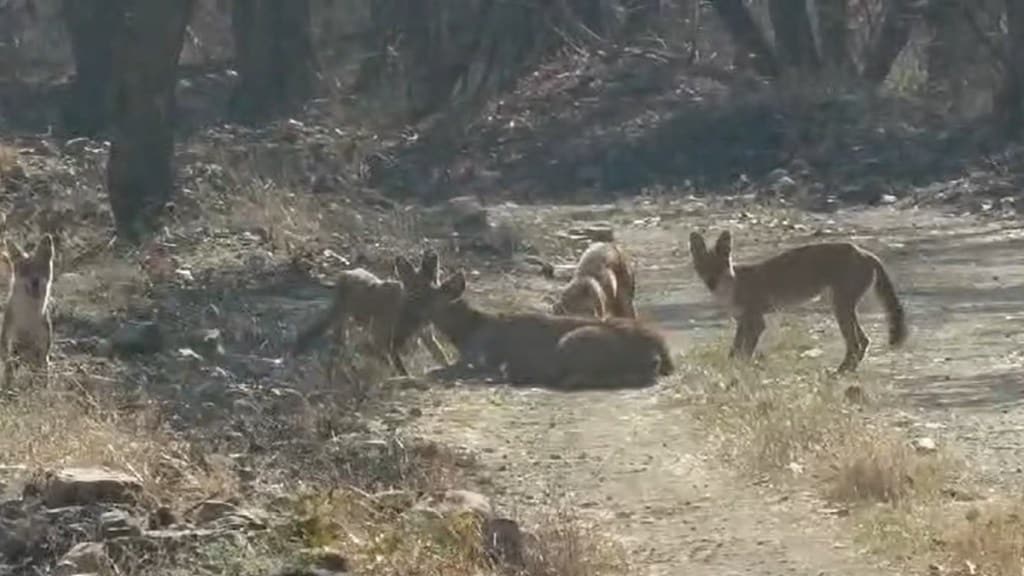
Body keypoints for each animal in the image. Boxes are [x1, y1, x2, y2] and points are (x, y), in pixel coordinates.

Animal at [0, 234, 55, 389]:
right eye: (24, 271)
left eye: (41, 269)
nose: (34, 281)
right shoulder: (13, 350)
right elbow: (9, 378)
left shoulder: (42, 354)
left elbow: (42, 382)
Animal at [296, 248, 452, 375]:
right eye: (414, 290)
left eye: (431, 285)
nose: (428, 308)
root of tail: (347, 272)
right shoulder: (382, 338)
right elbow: (399, 367)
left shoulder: (426, 335)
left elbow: (441, 356)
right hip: (344, 322)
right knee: (342, 346)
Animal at [417, 268, 671, 385]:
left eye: (426, 297)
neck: (466, 330)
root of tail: (660, 349)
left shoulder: (479, 359)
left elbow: (441, 371)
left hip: (573, 340)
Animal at [688, 229, 905, 373]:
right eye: (702, 268)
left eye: (719, 267)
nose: (711, 283)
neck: (733, 285)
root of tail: (863, 251)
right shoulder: (742, 322)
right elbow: (734, 350)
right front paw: (728, 369)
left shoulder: (756, 322)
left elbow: (744, 353)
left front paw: (739, 372)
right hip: (842, 307)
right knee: (863, 340)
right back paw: (846, 370)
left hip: (840, 308)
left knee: (855, 343)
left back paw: (839, 372)